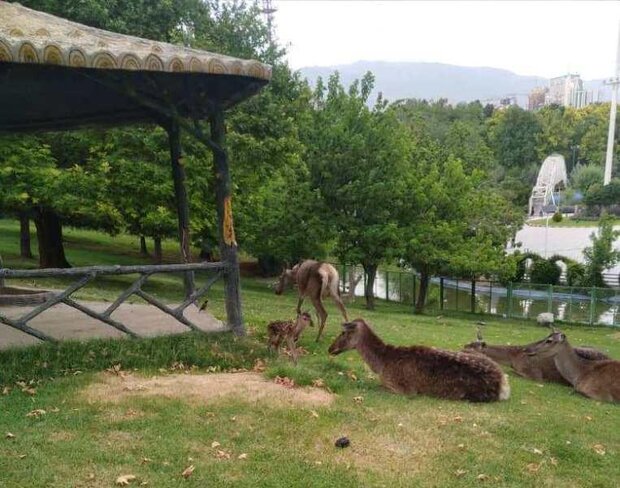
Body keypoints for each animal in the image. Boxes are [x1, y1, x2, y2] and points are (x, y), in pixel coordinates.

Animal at [326, 318, 512, 402]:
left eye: (343, 333)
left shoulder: (405, 389)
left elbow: (377, 386)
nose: (330, 349)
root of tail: (504, 382)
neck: (382, 363)